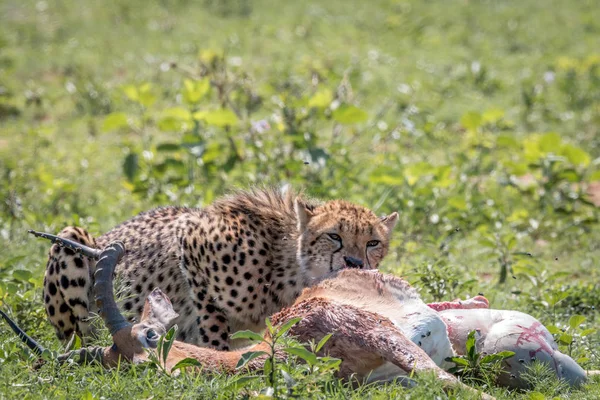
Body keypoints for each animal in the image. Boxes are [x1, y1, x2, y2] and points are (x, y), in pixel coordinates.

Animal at [42, 186, 398, 348]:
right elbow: (212, 321)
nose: (355, 262)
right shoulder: (190, 240)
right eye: (334, 236)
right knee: (78, 335)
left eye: (372, 243)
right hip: (69, 239)